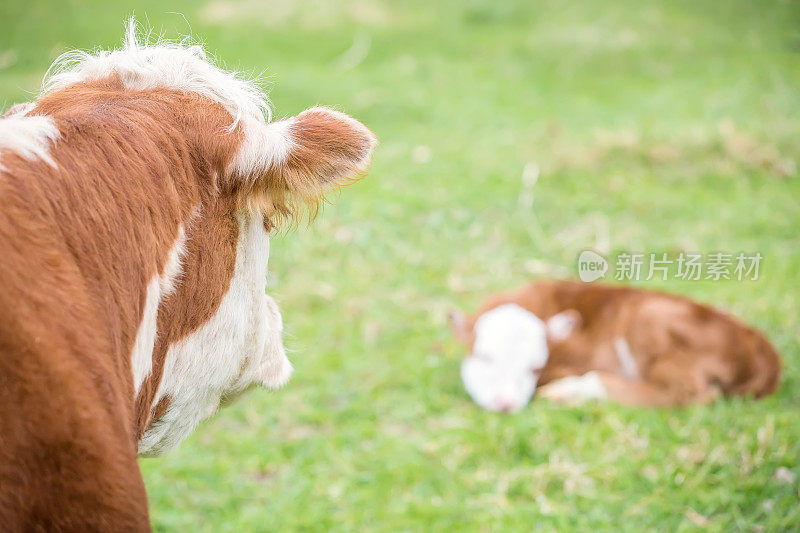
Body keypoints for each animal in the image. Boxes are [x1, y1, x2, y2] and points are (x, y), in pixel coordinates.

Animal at [450, 278, 780, 412]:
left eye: (534, 367)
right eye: (484, 357)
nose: (505, 404)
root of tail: (760, 344)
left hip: (648, 318)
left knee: (686, 392)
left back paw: (567, 391)